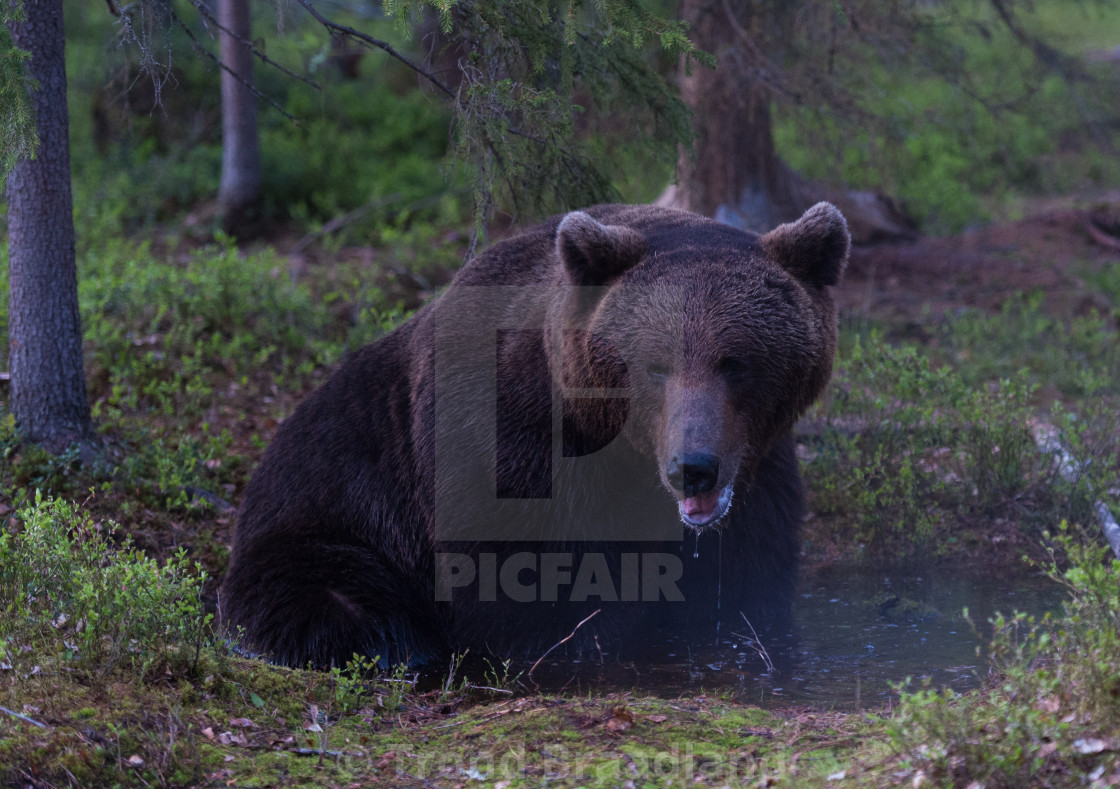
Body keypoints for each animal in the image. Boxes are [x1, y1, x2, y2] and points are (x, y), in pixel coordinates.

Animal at [220, 201, 846, 663]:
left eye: (735, 363)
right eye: (654, 365)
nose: (692, 467)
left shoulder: (759, 479)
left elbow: (747, 584)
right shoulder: (504, 455)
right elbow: (526, 593)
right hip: (329, 518)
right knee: (338, 604)